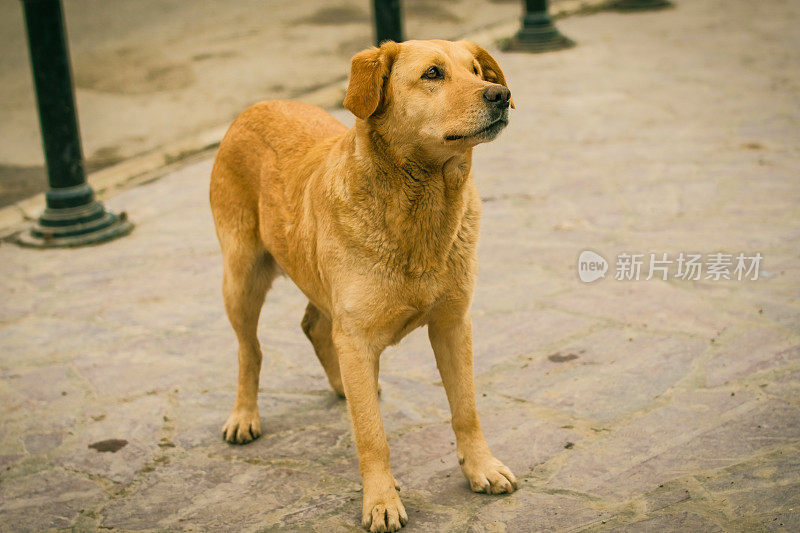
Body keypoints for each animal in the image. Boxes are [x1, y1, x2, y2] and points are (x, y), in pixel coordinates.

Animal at [209, 39, 516, 528]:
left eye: (476, 70)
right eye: (433, 74)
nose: (501, 94)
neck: (421, 207)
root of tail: (255, 106)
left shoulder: (453, 323)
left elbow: (466, 409)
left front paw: (481, 468)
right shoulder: (356, 337)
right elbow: (372, 436)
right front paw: (381, 501)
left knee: (314, 326)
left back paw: (343, 387)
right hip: (241, 277)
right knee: (249, 349)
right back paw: (244, 415)